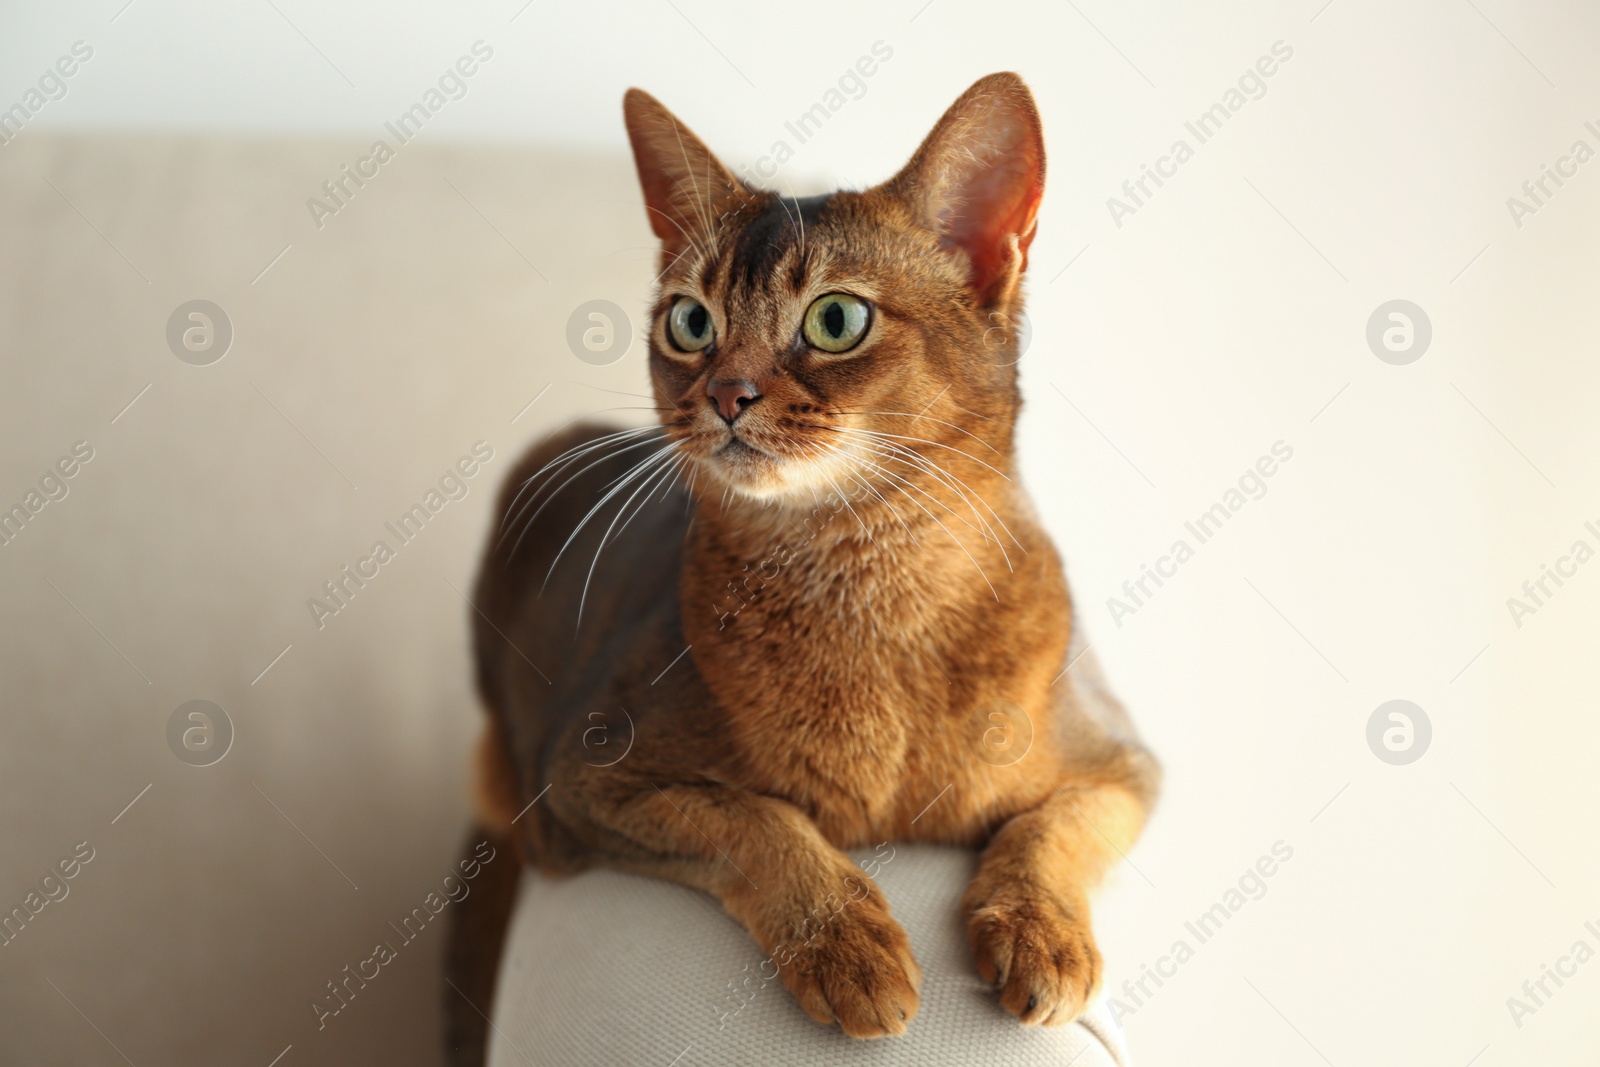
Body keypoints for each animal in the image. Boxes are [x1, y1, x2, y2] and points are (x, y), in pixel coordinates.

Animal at [444, 70, 1158, 1055]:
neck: (869, 581)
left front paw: (1039, 933)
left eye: (836, 319)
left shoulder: (1125, 764)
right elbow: (754, 816)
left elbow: (1054, 826)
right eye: (691, 321)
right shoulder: (582, 778)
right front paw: (848, 945)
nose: (724, 393)